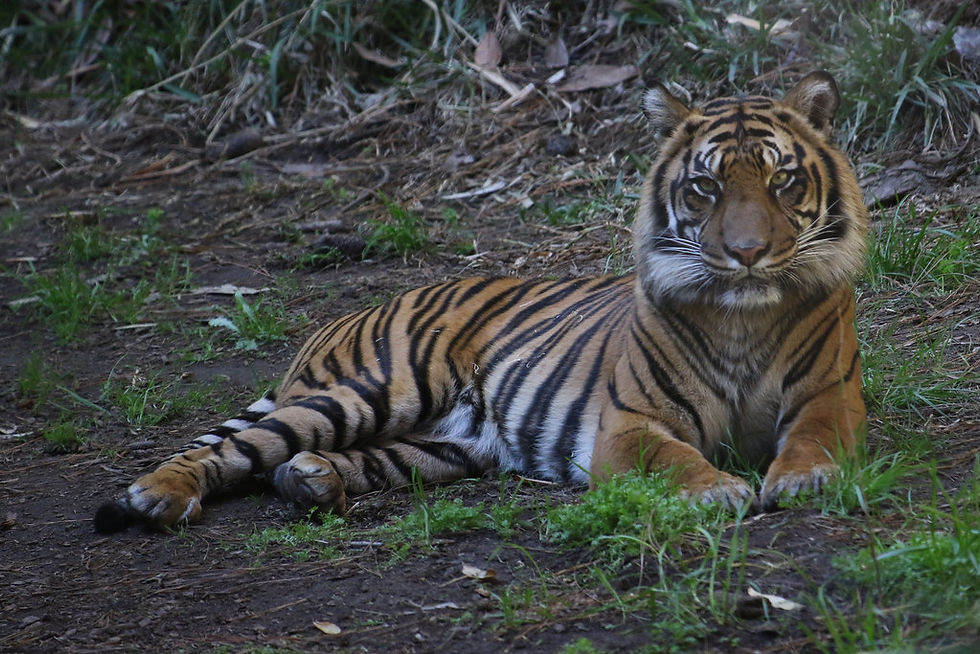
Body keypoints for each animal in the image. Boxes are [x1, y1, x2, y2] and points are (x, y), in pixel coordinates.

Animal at [94, 71, 868, 534]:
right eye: (706, 187)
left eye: (782, 180)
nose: (746, 252)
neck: (744, 316)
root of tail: (344, 315)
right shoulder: (630, 424)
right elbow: (673, 459)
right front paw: (717, 491)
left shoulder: (829, 394)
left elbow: (817, 436)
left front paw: (807, 478)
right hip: (375, 388)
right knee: (237, 450)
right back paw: (159, 495)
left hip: (441, 445)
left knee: (309, 461)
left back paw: (312, 481)